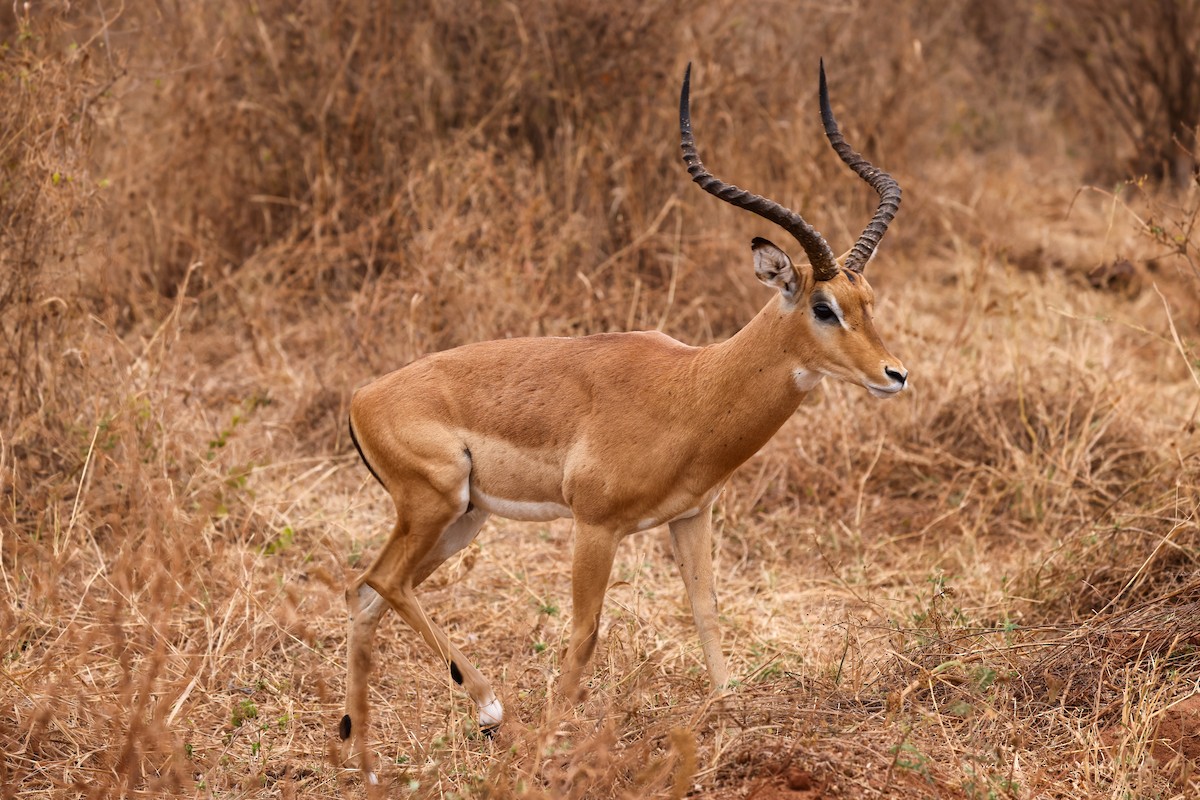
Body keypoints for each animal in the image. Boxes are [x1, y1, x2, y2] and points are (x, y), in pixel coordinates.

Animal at [340, 61, 906, 777]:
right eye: (824, 307)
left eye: (868, 299)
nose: (895, 374)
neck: (691, 388)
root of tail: (363, 396)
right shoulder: (596, 525)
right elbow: (584, 634)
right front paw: (548, 746)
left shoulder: (691, 515)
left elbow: (707, 613)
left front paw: (734, 726)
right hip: (434, 504)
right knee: (381, 582)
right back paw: (490, 712)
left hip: (463, 519)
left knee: (364, 593)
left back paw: (366, 761)